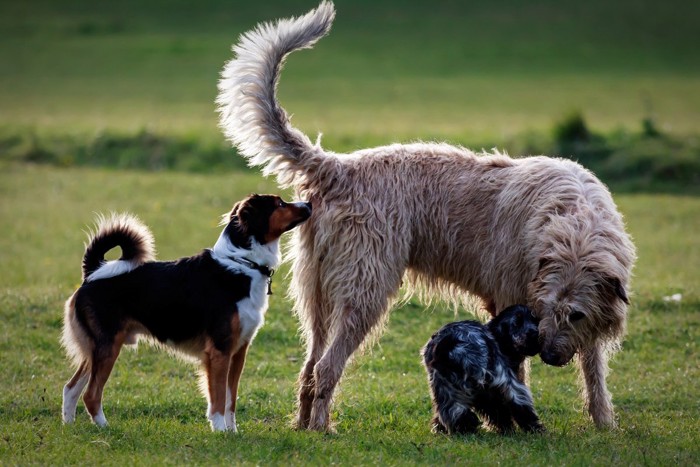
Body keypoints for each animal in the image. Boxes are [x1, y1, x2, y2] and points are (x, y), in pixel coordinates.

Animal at [60, 193, 312, 432]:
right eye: (280, 204)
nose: (309, 203)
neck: (242, 263)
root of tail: (93, 273)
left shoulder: (238, 352)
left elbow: (231, 400)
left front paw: (232, 432)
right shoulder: (219, 351)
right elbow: (218, 398)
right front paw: (220, 430)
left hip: (97, 350)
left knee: (71, 388)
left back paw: (69, 425)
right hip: (108, 347)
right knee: (90, 395)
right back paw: (105, 428)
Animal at [424, 306, 544, 436]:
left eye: (536, 320)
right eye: (516, 323)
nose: (535, 333)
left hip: (445, 386)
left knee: (455, 412)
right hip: (501, 380)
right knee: (517, 405)